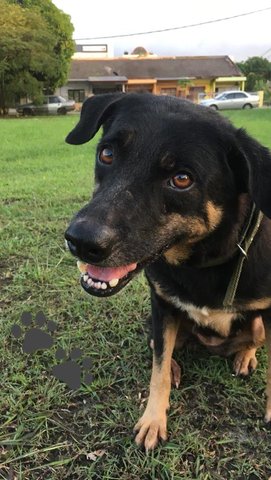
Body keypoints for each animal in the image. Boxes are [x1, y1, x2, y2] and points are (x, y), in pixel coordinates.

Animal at [65, 93, 271, 450]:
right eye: (107, 154)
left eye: (182, 179)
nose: (80, 241)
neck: (201, 262)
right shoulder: (161, 305)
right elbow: (158, 369)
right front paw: (153, 419)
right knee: (161, 349)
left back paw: (245, 355)